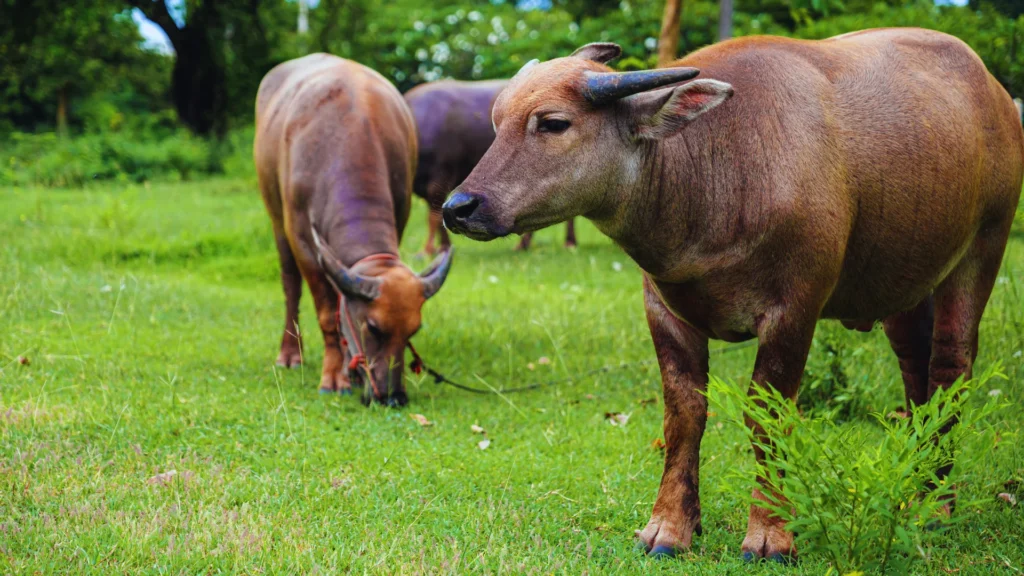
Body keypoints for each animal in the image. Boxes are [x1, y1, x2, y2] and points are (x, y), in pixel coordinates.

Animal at [443, 29, 1024, 559]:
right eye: (496, 122)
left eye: (553, 122)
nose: (459, 207)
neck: (716, 178)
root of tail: (996, 95)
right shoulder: (662, 310)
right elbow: (683, 415)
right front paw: (669, 528)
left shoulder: (795, 310)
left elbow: (767, 416)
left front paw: (771, 534)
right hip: (901, 280)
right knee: (914, 369)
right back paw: (913, 484)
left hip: (984, 245)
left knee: (950, 366)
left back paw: (937, 505)